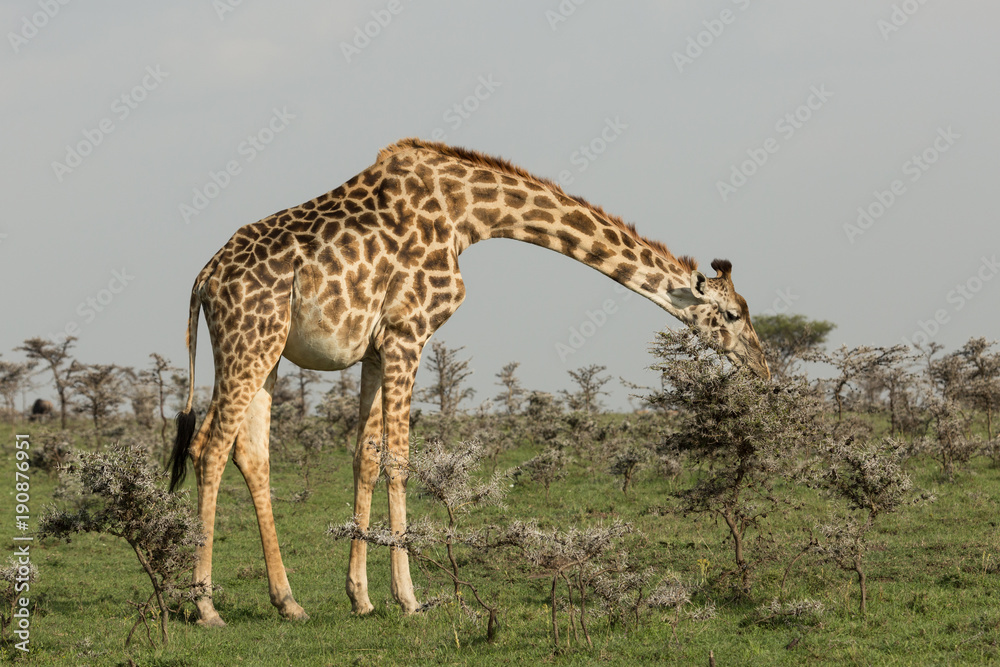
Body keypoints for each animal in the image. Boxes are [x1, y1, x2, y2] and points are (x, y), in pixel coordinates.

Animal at [168, 137, 770, 626]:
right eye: (734, 314)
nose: (763, 370)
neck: (469, 214)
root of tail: (203, 278)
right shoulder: (408, 332)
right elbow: (399, 461)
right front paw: (410, 598)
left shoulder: (376, 348)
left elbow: (365, 457)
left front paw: (360, 597)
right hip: (248, 343)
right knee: (210, 449)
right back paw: (206, 607)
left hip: (264, 352)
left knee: (251, 453)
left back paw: (288, 602)